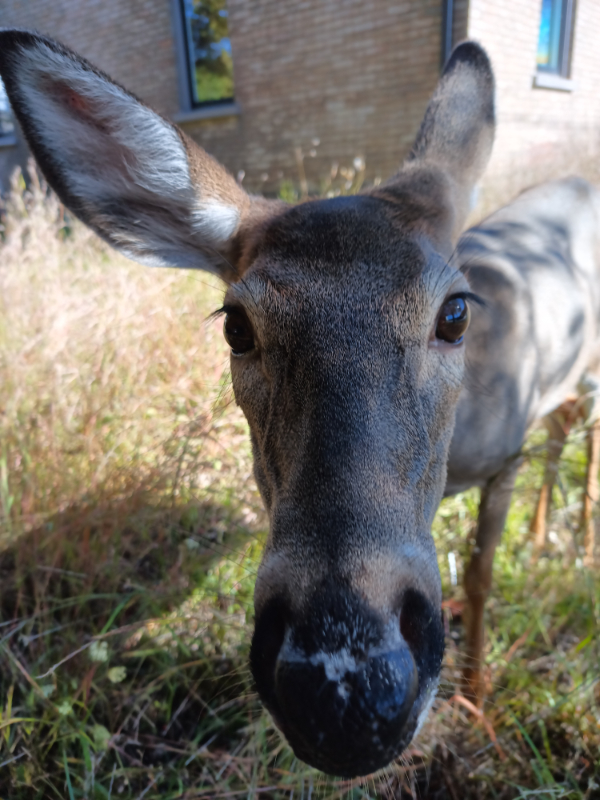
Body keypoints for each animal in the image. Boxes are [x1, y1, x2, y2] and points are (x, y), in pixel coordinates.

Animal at [2, 28, 596, 780]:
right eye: (236, 325)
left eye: (456, 312)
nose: (344, 687)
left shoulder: (507, 450)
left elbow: (486, 578)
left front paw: (477, 695)